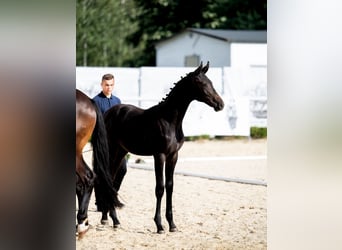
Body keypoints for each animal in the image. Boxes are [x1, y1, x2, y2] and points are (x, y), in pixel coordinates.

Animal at [101, 61, 224, 233]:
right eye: (202, 83)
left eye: (211, 82)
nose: (220, 104)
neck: (169, 120)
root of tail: (107, 113)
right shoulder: (159, 155)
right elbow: (160, 188)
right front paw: (159, 225)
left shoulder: (173, 156)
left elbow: (170, 186)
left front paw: (172, 224)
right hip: (112, 150)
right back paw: (110, 218)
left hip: (120, 152)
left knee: (111, 180)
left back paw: (111, 219)